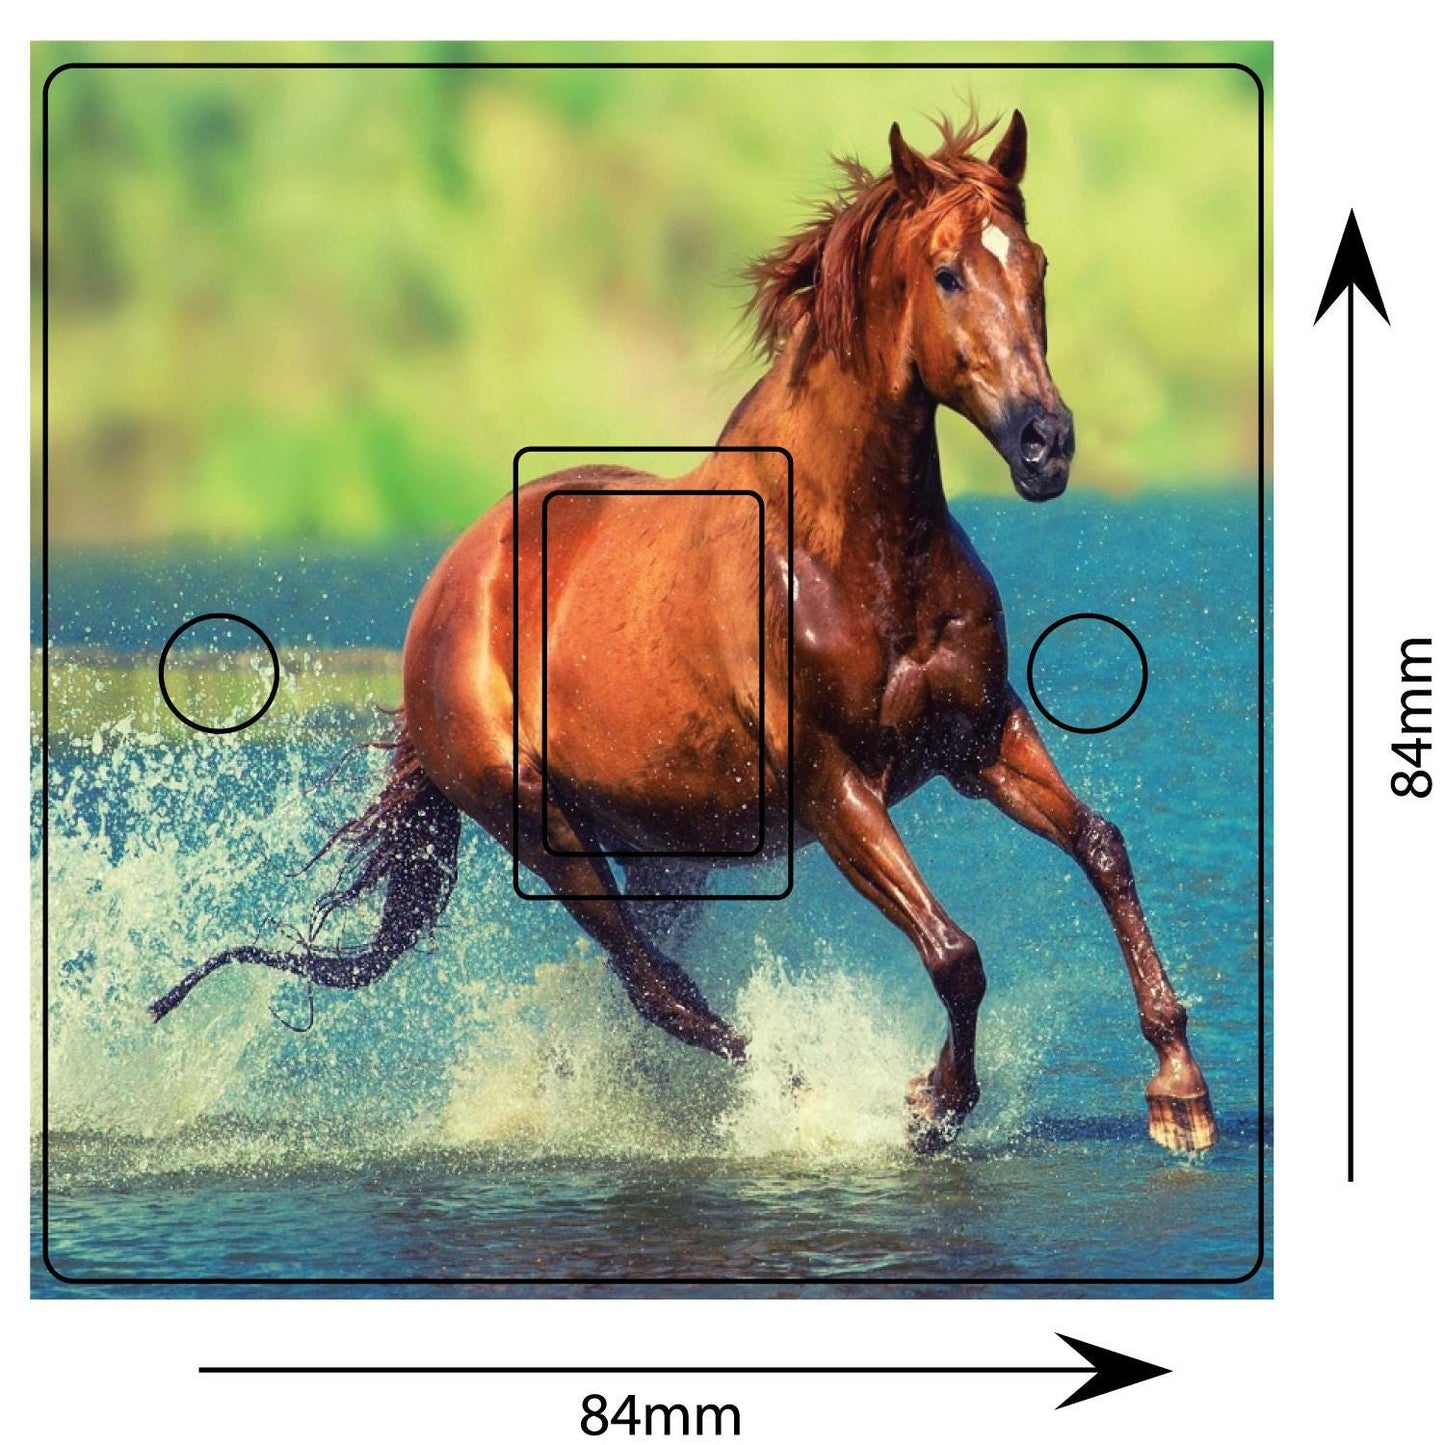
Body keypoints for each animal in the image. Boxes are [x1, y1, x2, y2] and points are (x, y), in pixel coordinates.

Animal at [151, 112, 1217, 1155]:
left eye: (1035, 263)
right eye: (948, 271)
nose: (1046, 444)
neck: (855, 553)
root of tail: (446, 592)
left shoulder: (979, 735)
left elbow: (1102, 846)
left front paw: (1179, 1092)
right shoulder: (835, 783)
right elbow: (954, 952)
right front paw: (930, 1104)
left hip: (670, 844)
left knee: (651, 984)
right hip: (540, 827)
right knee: (656, 987)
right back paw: (796, 1092)